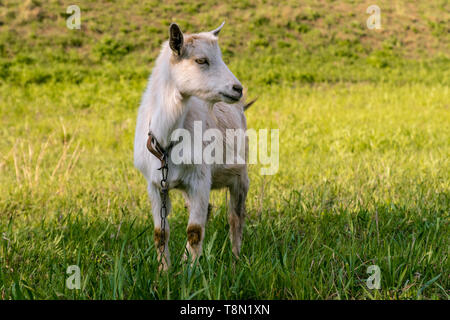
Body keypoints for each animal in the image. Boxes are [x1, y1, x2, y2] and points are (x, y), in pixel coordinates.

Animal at [134, 22, 253, 270]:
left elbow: (195, 231)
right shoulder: (155, 184)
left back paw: (236, 260)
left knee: (236, 217)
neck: (166, 141)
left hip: (240, 175)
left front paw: (189, 271)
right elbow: (160, 232)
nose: (238, 88)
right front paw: (164, 270)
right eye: (201, 60)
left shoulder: (200, 179)